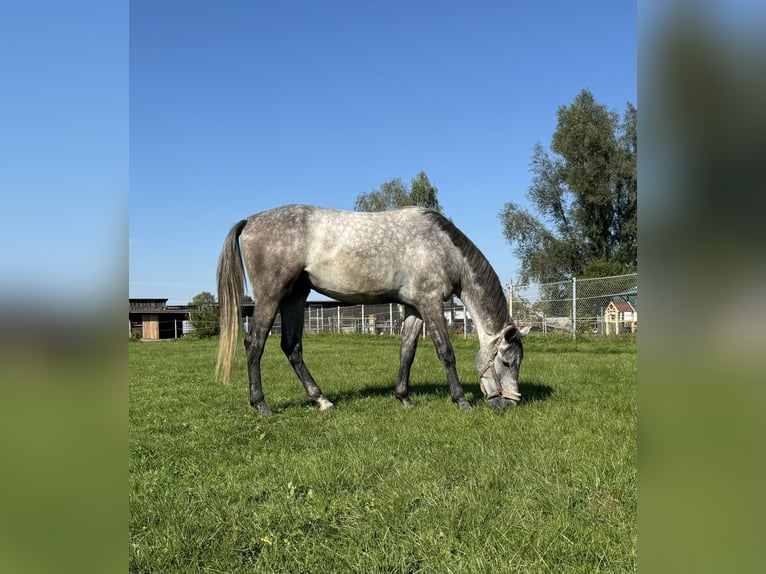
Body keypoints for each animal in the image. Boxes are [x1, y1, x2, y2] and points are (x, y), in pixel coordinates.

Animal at [216, 205, 528, 416]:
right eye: (507, 362)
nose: (510, 403)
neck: (442, 247)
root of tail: (250, 221)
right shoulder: (430, 303)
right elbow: (445, 352)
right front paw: (461, 400)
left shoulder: (414, 307)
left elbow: (407, 352)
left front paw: (403, 397)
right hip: (271, 296)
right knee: (254, 344)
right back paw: (261, 405)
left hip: (296, 296)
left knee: (291, 347)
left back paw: (321, 400)